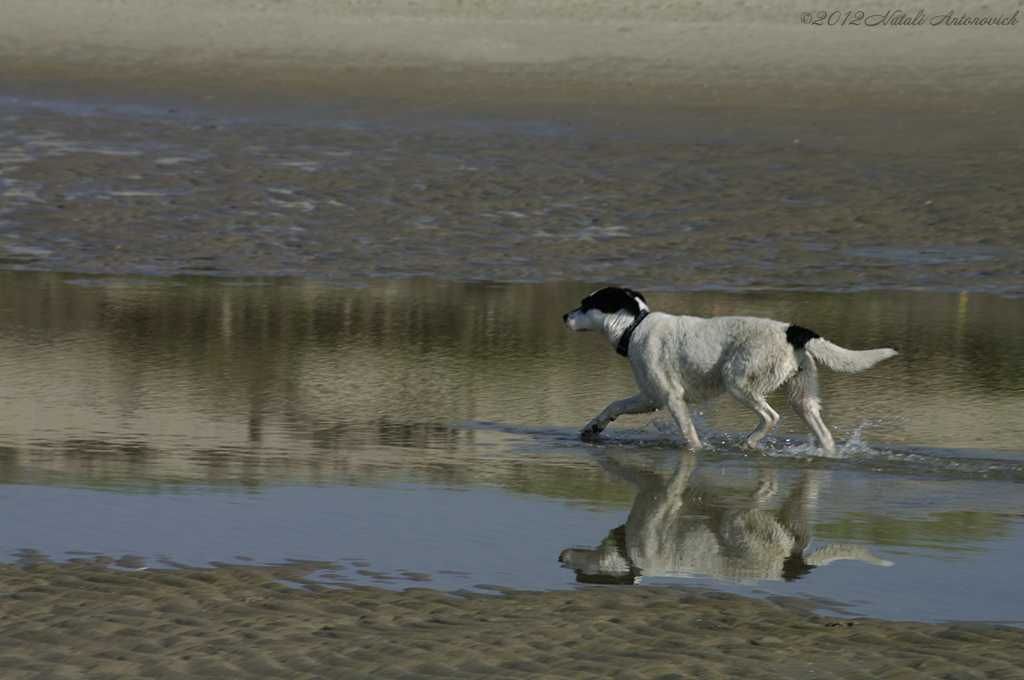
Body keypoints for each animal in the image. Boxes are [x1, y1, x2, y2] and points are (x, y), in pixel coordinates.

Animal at [561, 284, 897, 450]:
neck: (635, 327)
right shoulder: (650, 398)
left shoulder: (671, 399)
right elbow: (613, 405)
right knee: (824, 435)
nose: (564, 316)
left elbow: (690, 437)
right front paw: (593, 427)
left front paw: (696, 454)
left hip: (739, 383)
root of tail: (792, 331)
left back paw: (748, 444)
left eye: (585, 304)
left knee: (770, 417)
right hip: (801, 398)